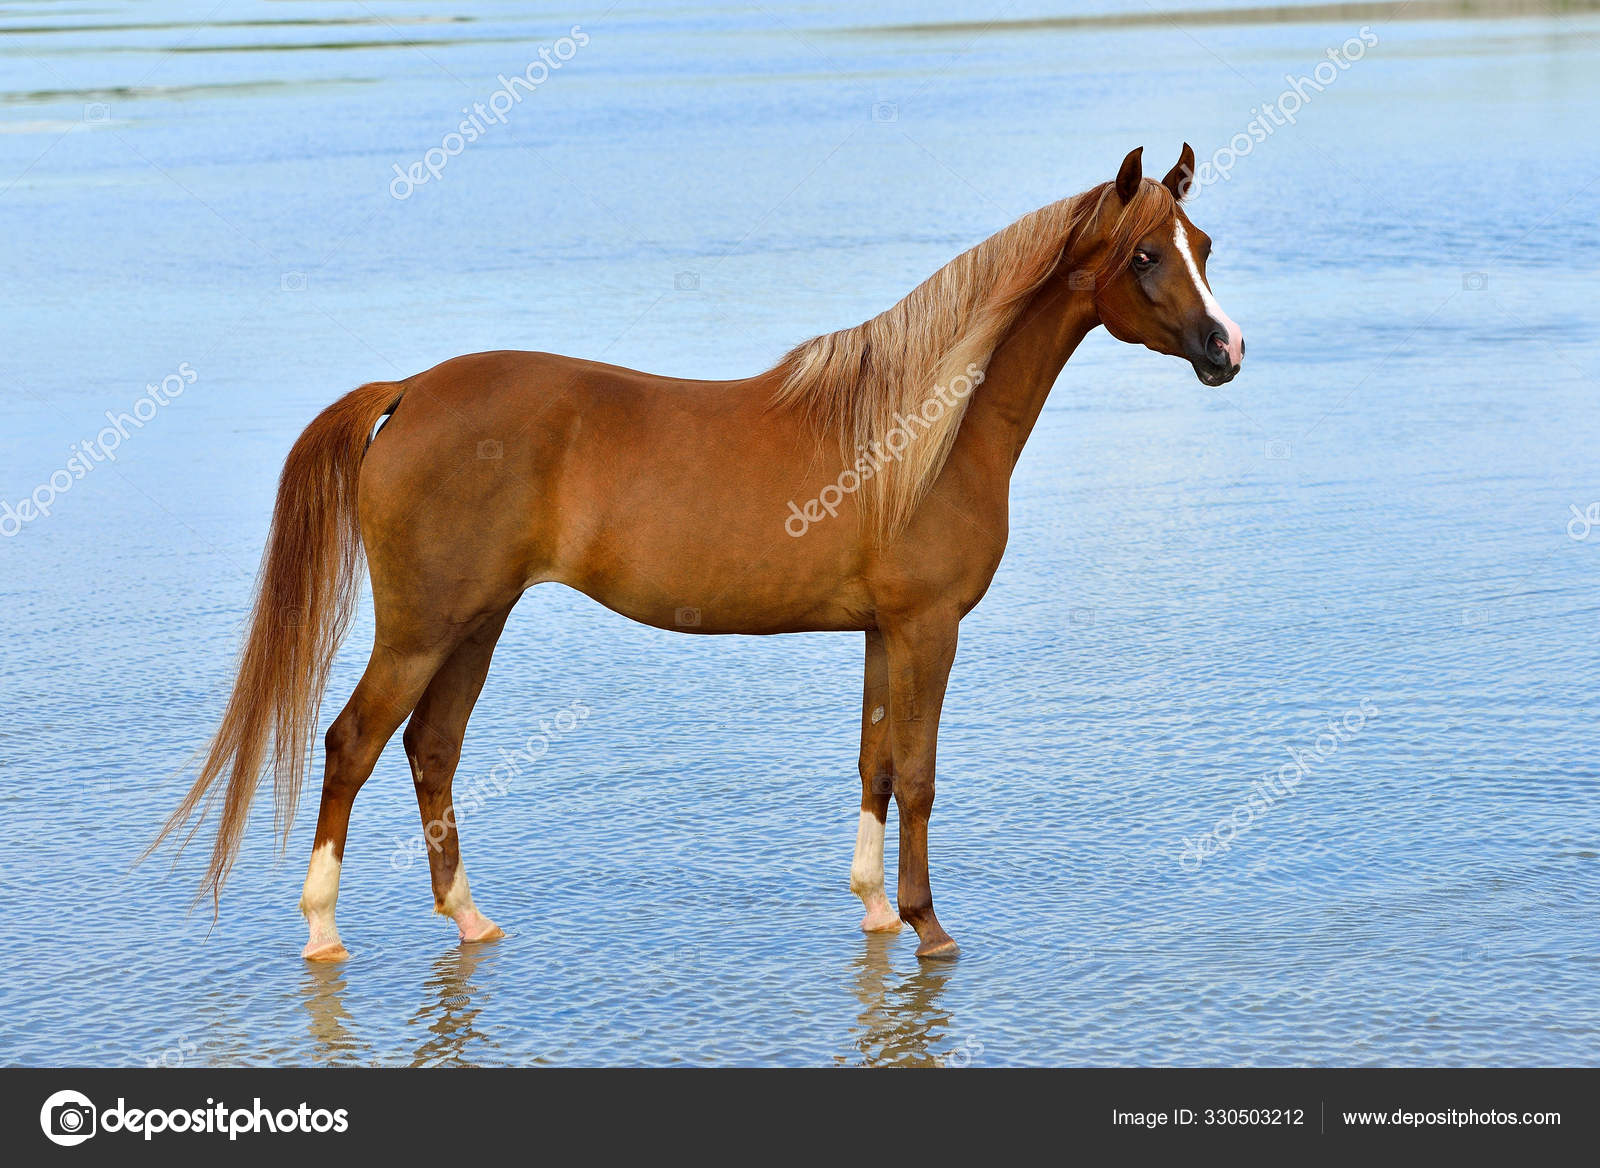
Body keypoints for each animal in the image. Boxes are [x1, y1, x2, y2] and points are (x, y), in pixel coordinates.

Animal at [150, 145, 1241, 960]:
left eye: (1202, 244)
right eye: (1145, 256)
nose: (1225, 350)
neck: (920, 435)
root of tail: (411, 389)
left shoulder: (881, 631)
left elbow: (877, 763)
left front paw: (875, 908)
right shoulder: (928, 627)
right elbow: (924, 772)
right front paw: (930, 926)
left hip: (477, 622)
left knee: (432, 749)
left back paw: (471, 919)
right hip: (424, 626)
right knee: (353, 745)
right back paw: (322, 930)